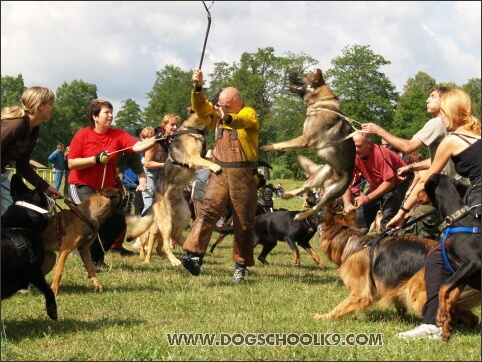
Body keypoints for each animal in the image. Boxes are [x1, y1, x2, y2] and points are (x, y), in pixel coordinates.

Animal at [125, 113, 221, 266]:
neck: (192, 129)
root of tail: (154, 201)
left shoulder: (202, 155)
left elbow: (209, 158)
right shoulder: (194, 158)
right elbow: (207, 161)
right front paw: (216, 166)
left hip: (184, 216)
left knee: (176, 236)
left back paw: (188, 247)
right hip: (166, 222)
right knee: (165, 244)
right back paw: (174, 260)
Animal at [262, 68, 356, 221]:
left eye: (304, 76)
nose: (290, 73)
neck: (321, 103)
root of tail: (334, 177)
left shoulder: (305, 139)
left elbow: (285, 143)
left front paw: (269, 147)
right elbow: (286, 144)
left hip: (330, 194)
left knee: (316, 206)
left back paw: (301, 215)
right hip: (317, 178)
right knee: (305, 187)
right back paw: (287, 194)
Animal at [314, 199, 480, 330]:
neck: (349, 240)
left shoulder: (361, 294)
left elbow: (340, 307)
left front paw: (324, 317)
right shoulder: (395, 284)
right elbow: (398, 303)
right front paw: (397, 317)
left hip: (418, 294)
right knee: (469, 316)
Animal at [424, 174, 480, 340]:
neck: (456, 220)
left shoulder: (472, 263)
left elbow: (443, 286)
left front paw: (441, 317)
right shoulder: (460, 272)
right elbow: (450, 297)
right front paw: (446, 326)